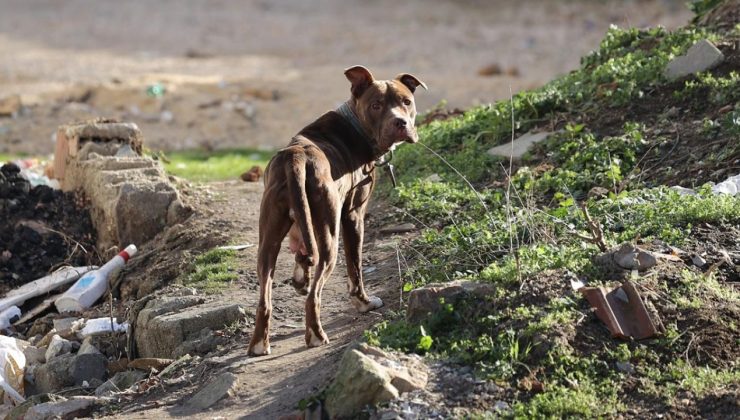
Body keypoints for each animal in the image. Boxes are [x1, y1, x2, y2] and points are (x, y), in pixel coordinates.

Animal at [247, 65, 424, 354]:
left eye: (406, 102)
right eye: (376, 105)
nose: (400, 123)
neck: (356, 124)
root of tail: (296, 157)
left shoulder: (301, 226)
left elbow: (302, 256)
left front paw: (300, 278)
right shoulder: (353, 215)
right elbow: (355, 267)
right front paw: (364, 303)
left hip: (268, 239)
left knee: (265, 297)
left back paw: (259, 344)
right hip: (329, 237)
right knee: (314, 296)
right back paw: (316, 335)